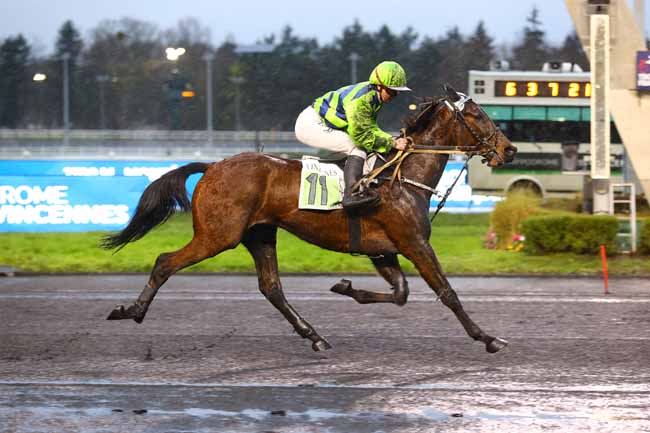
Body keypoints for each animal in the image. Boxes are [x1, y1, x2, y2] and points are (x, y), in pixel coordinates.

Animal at [101, 85, 516, 354]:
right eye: (478, 114)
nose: (509, 149)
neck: (399, 178)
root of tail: (213, 165)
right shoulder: (414, 243)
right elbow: (447, 293)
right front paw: (488, 338)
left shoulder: (384, 250)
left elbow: (400, 294)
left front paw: (346, 288)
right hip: (218, 235)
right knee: (164, 262)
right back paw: (131, 310)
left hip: (259, 234)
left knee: (271, 287)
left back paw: (313, 334)